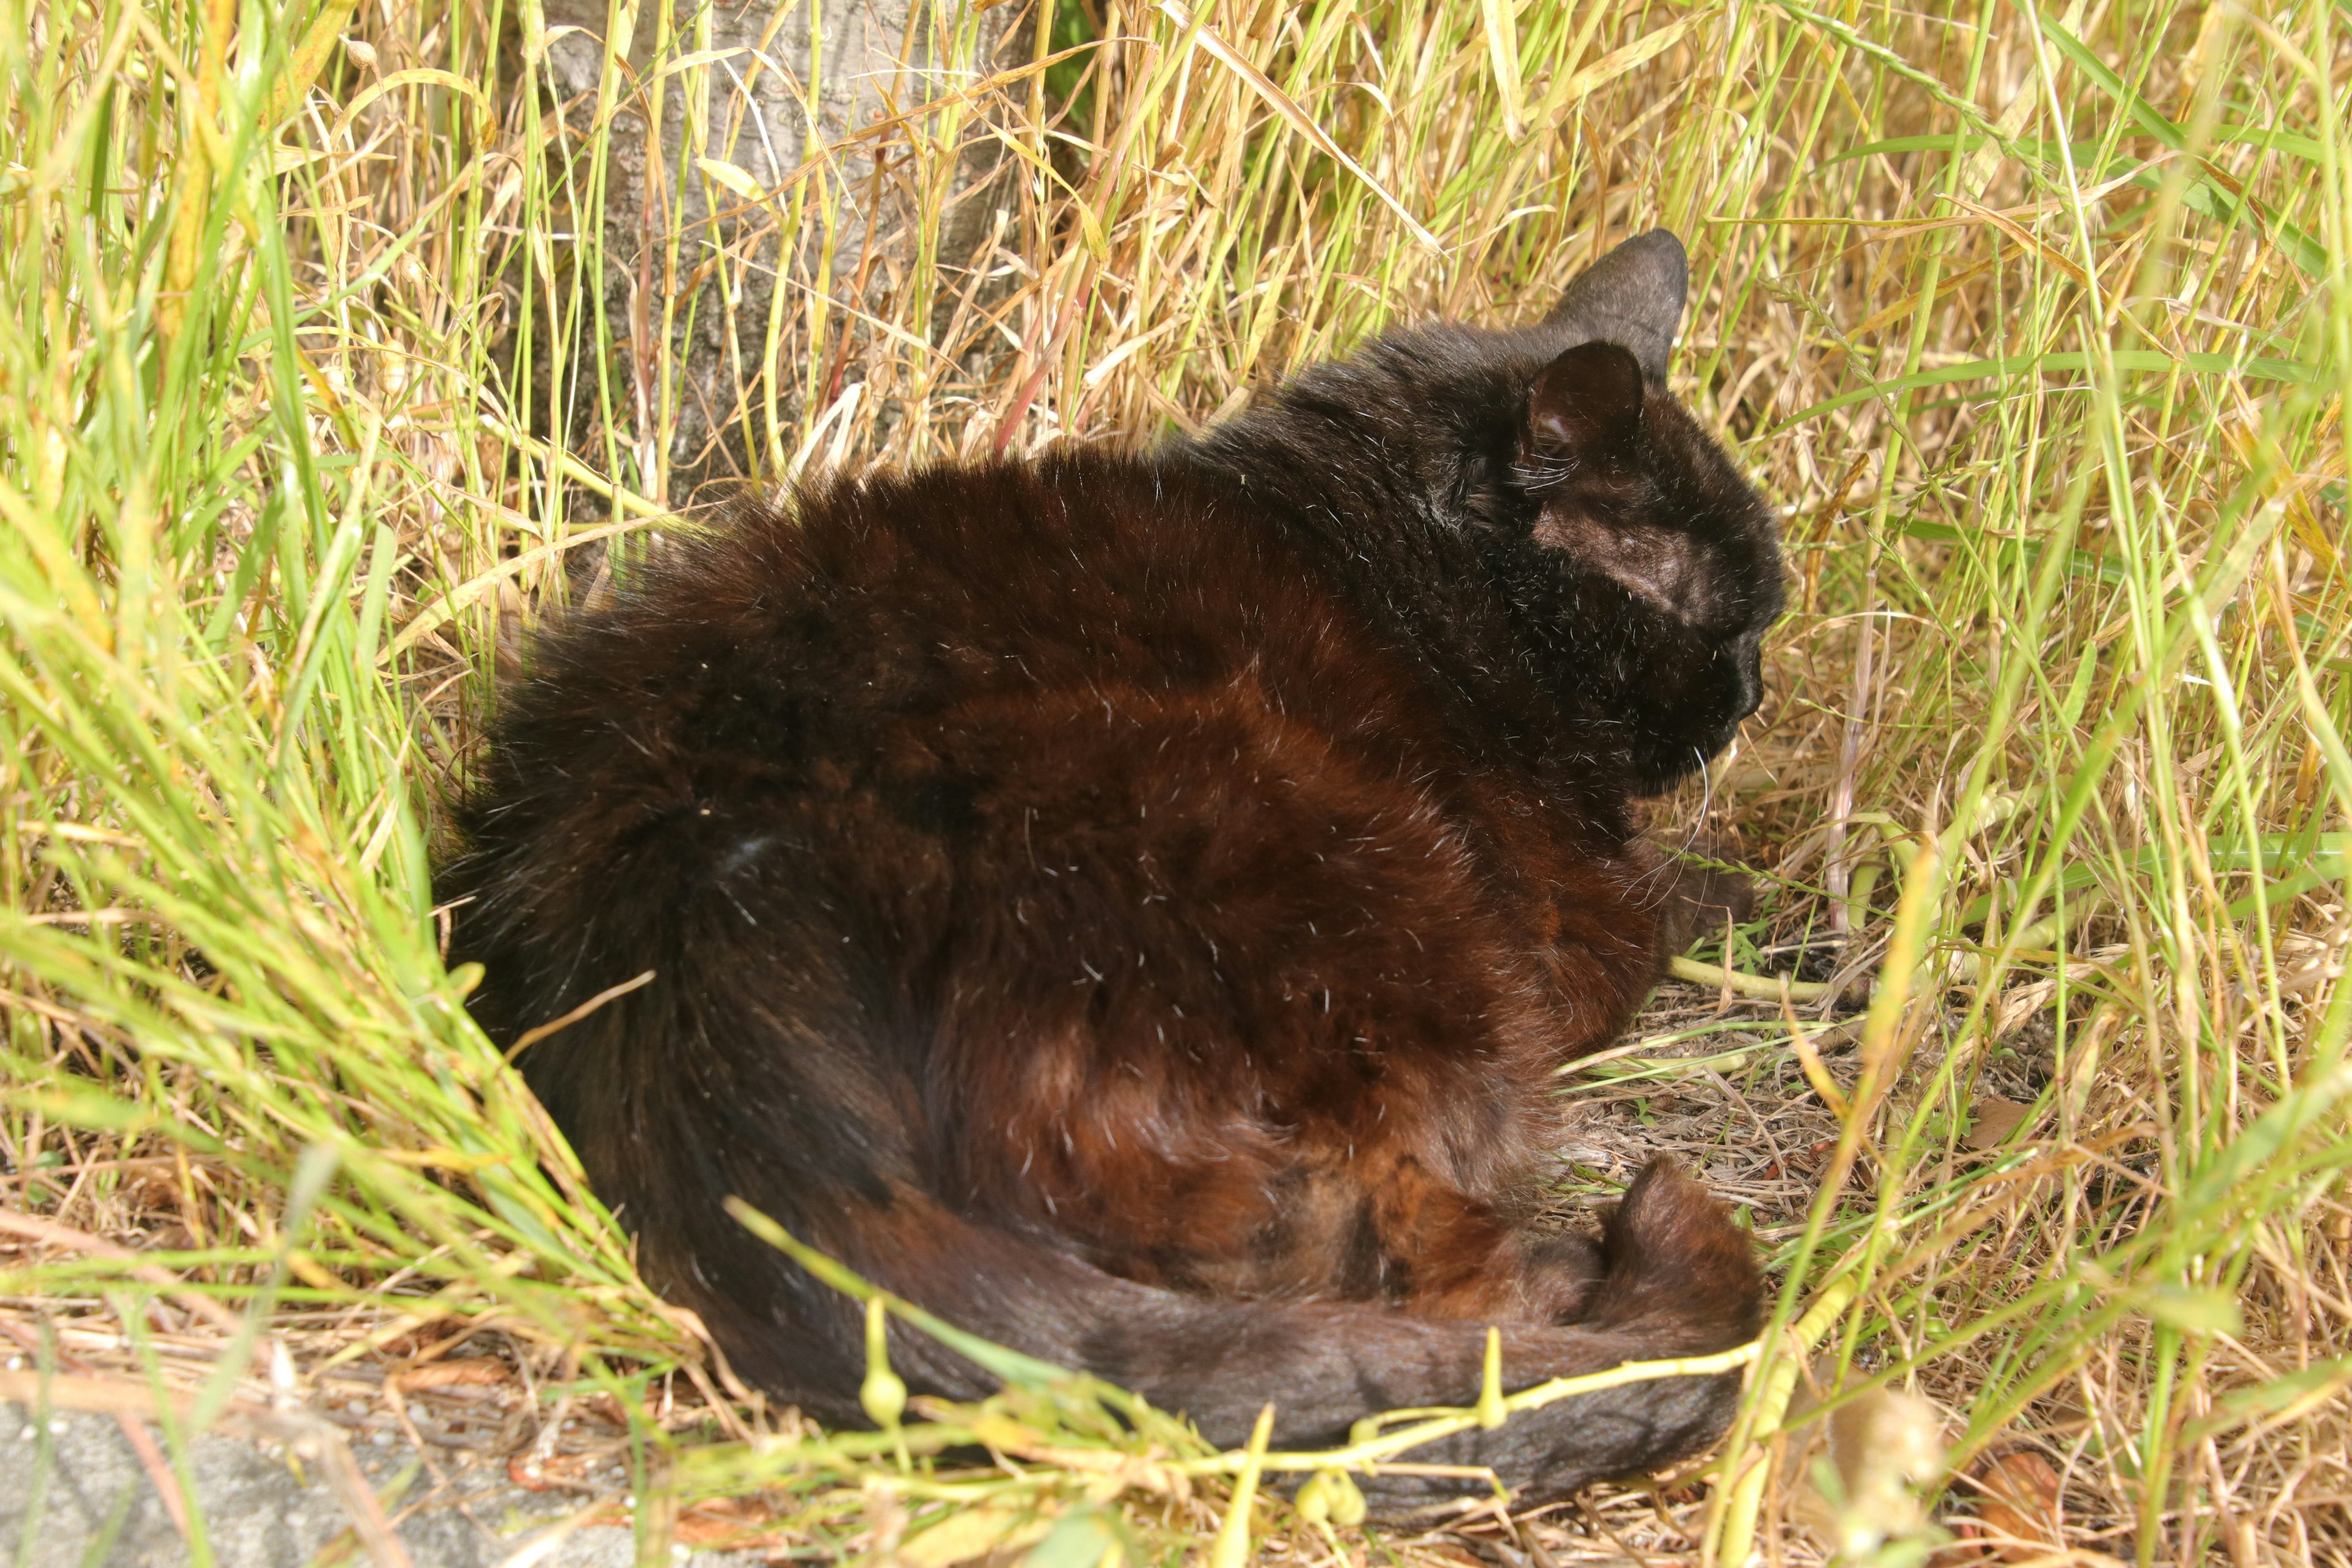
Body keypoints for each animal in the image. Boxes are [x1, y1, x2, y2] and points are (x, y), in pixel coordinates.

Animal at [442, 227, 1778, 1504]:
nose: (1754, 692)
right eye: (1726, 621)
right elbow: (1667, 897)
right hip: (1388, 919)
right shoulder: (1579, 921)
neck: (1392, 554)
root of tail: (695, 954)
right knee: (1429, 1278)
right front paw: (1741, 889)